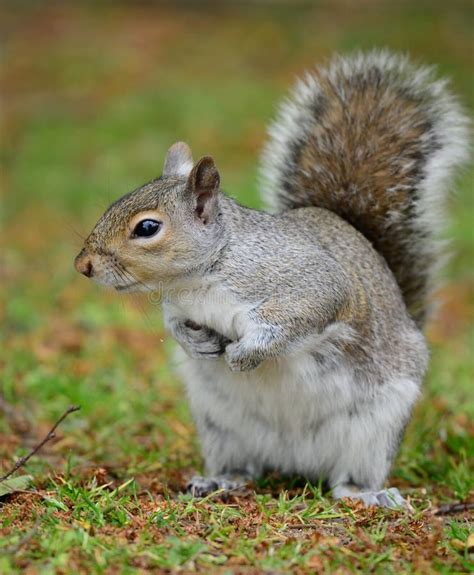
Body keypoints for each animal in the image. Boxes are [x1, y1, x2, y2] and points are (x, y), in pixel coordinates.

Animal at [76, 50, 468, 508]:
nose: (83, 265)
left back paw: (366, 494)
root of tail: (295, 458)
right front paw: (196, 343)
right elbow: (175, 324)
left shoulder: (304, 279)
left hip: (374, 428)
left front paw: (244, 355)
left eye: (147, 228)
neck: (201, 278)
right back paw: (220, 480)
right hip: (222, 426)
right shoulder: (179, 304)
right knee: (243, 466)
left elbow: (307, 309)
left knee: (348, 477)